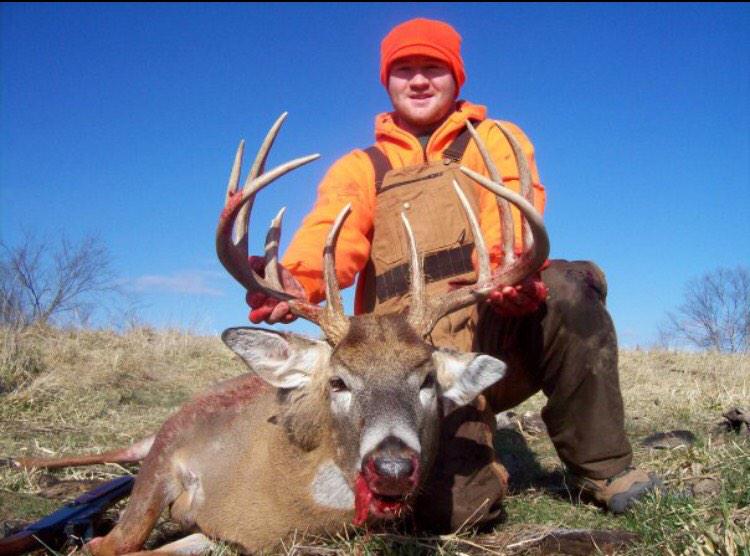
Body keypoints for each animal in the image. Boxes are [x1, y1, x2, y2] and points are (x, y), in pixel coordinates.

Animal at [9, 113, 549, 555]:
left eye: (427, 381)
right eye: (338, 381)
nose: (392, 468)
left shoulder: (224, 536)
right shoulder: (172, 447)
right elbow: (113, 543)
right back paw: (23, 461)